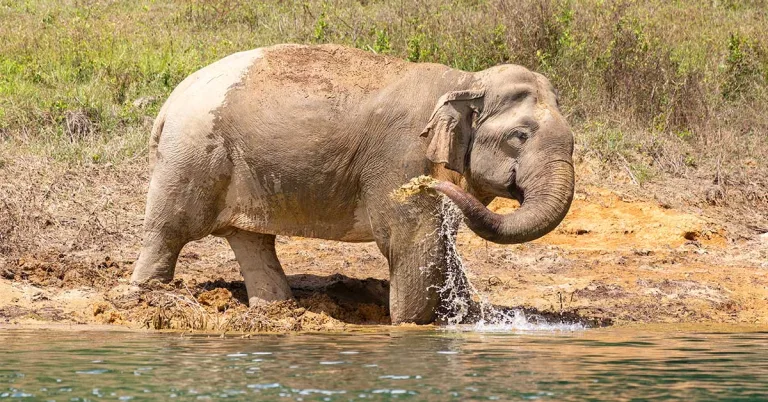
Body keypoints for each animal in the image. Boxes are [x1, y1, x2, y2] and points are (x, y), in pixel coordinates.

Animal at [130, 44, 574, 324]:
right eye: (519, 136)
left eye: (573, 141)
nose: (429, 186)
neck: (467, 79)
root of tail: (168, 106)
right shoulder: (401, 157)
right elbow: (413, 240)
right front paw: (413, 327)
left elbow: (440, 244)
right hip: (193, 156)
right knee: (171, 228)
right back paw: (147, 298)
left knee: (250, 239)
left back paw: (278, 311)